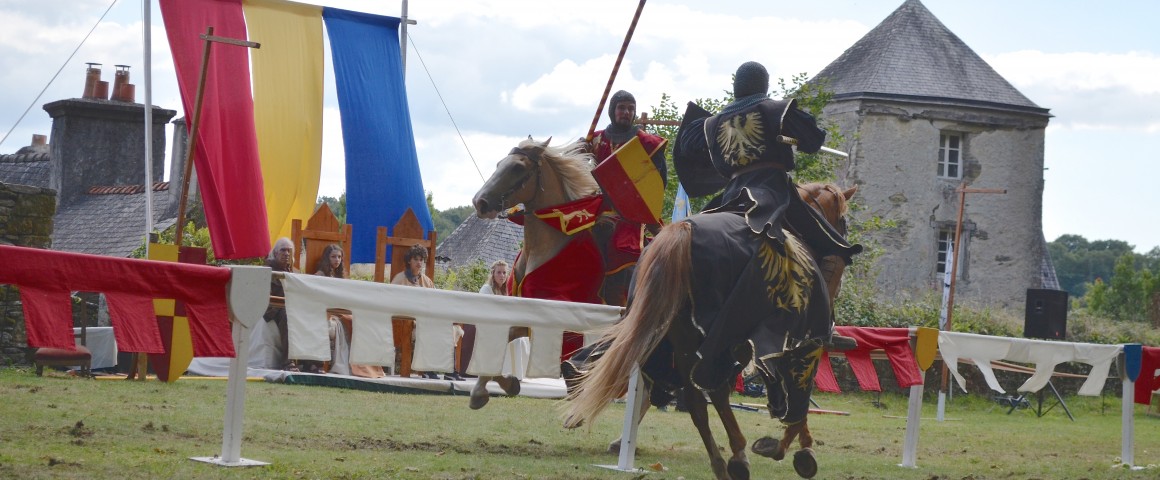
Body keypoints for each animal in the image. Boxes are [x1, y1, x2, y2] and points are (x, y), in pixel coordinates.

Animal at [469, 136, 624, 409]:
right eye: (499, 164)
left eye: (517, 167)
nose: (481, 202)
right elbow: (503, 338)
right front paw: (503, 384)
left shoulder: (555, 319)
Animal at [564, 182, 855, 480]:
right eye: (843, 222)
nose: (835, 284)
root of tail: (681, 233)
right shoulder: (793, 342)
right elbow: (797, 398)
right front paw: (792, 448)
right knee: (713, 393)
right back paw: (737, 455)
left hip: (682, 334)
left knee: (696, 400)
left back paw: (722, 462)